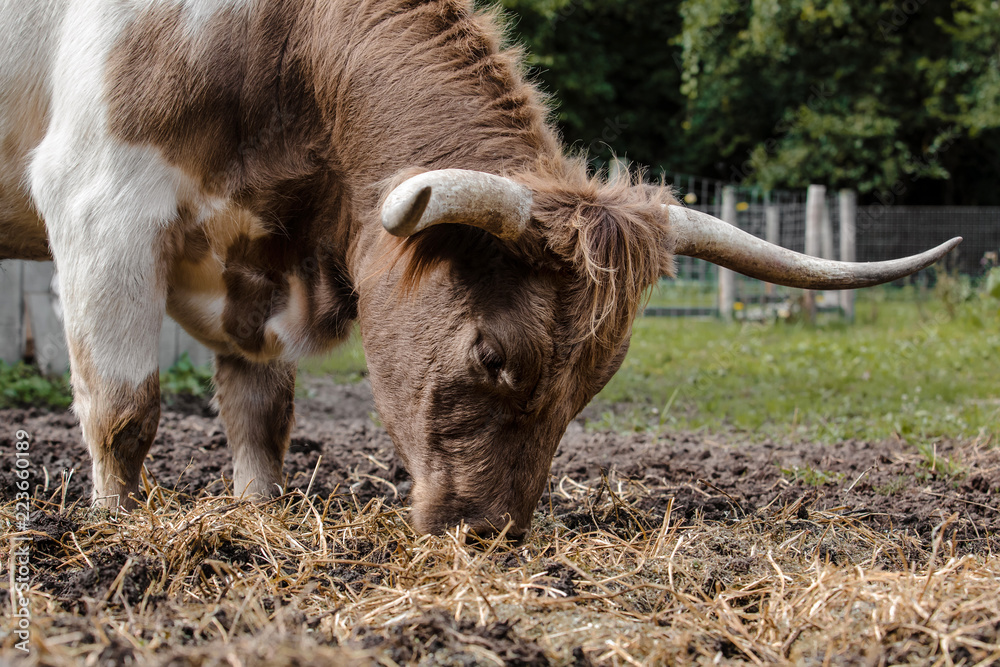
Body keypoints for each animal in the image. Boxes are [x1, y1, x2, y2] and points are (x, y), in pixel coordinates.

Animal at [0, 0, 959, 538]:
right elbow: (125, 408)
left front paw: (258, 515)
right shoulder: (102, 206)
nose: (488, 532)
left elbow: (260, 416)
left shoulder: (255, 260)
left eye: (590, 386)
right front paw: (116, 525)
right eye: (491, 354)